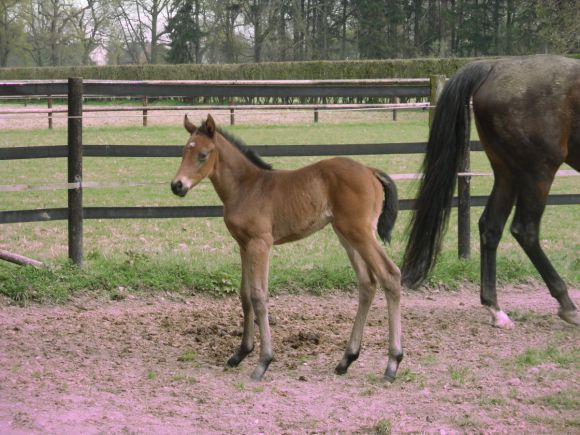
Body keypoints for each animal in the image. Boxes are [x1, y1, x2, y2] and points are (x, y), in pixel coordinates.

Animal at [170, 113, 402, 382]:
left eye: (203, 154)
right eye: (183, 151)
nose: (177, 186)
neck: (247, 187)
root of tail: (370, 171)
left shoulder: (261, 243)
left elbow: (259, 296)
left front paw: (263, 362)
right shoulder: (243, 245)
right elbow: (245, 295)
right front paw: (240, 354)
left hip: (360, 233)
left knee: (390, 275)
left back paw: (392, 363)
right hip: (347, 236)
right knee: (367, 283)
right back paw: (346, 360)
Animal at [404, 54, 580, 328]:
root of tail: (495, 65)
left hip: (507, 172)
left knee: (491, 226)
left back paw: (495, 308)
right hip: (539, 171)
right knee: (525, 230)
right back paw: (566, 304)